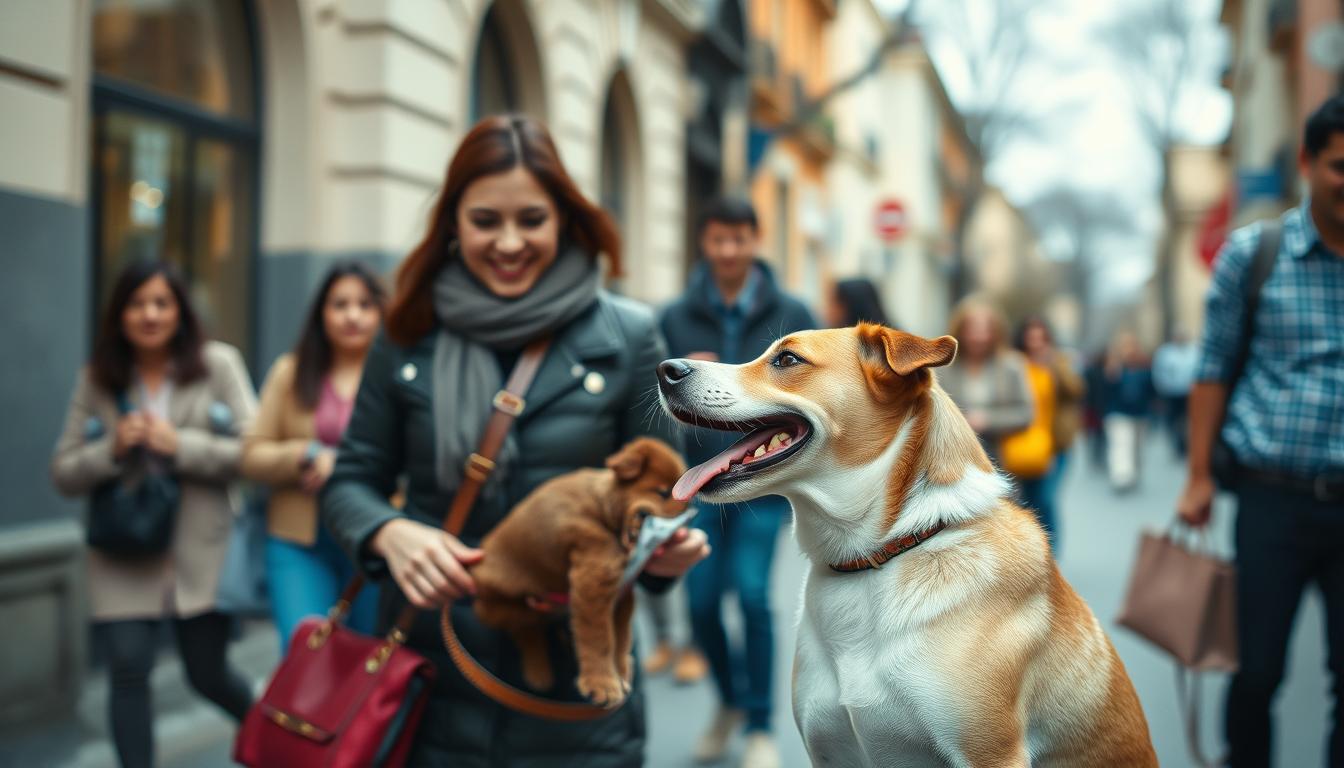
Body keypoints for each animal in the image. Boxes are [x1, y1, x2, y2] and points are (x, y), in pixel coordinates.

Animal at [470, 438, 682, 710]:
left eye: (686, 505)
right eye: (663, 493)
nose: (677, 534)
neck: (601, 508)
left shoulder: (622, 593)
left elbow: (621, 638)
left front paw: (621, 674)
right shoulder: (593, 583)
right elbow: (599, 639)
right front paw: (602, 684)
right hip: (508, 608)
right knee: (525, 629)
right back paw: (538, 670)